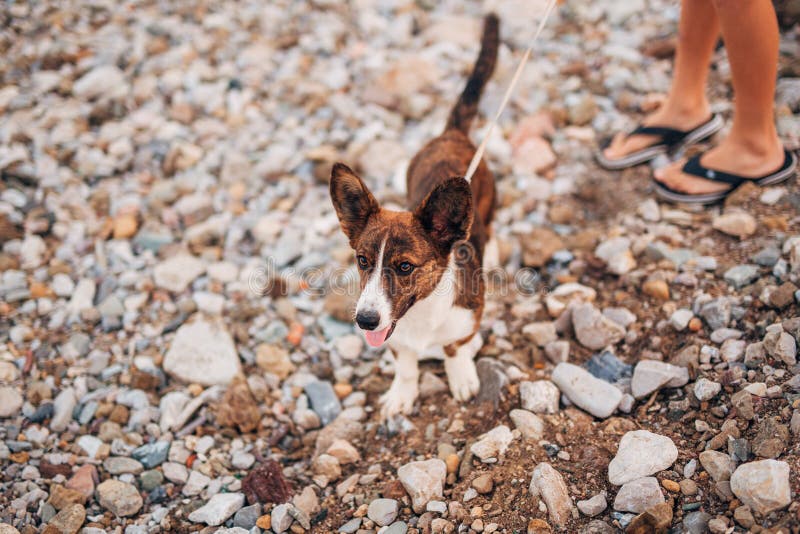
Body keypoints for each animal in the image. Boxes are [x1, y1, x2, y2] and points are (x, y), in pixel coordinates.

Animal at [328, 14, 496, 420]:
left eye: (405, 266)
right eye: (362, 261)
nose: (364, 320)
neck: (421, 314)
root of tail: (451, 134)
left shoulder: (465, 322)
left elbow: (454, 349)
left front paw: (461, 377)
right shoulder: (396, 340)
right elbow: (405, 366)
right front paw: (402, 395)